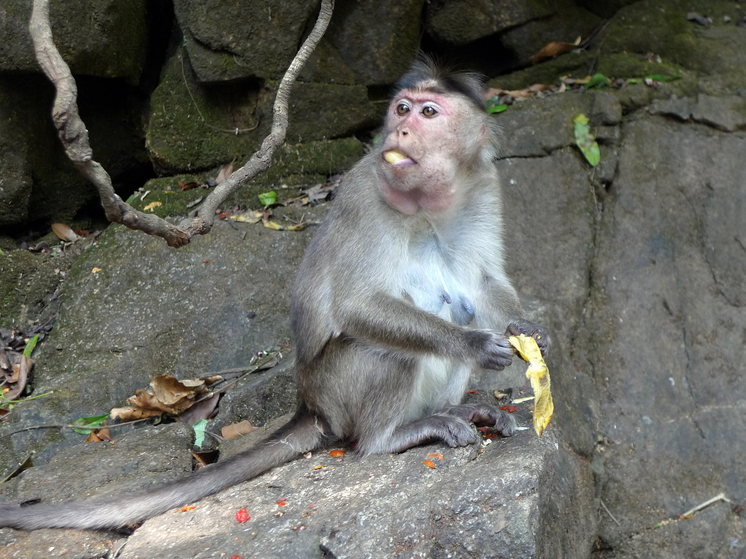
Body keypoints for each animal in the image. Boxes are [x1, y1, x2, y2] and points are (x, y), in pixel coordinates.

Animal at [0, 59, 548, 532]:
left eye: (428, 112)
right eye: (402, 109)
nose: (401, 132)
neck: (426, 201)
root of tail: (311, 406)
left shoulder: (482, 187)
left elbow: (484, 281)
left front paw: (526, 330)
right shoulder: (364, 195)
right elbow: (358, 307)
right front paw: (475, 344)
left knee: (457, 306)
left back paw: (457, 412)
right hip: (337, 390)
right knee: (386, 351)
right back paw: (391, 437)